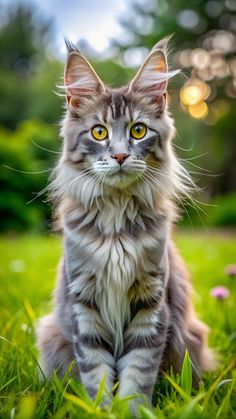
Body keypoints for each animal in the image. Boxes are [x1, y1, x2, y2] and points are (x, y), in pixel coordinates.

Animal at [36, 37, 216, 412]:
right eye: (99, 132)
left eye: (138, 130)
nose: (119, 155)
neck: (117, 220)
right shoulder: (84, 303)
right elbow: (97, 374)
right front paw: (102, 412)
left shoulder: (151, 302)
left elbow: (138, 373)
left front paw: (131, 411)